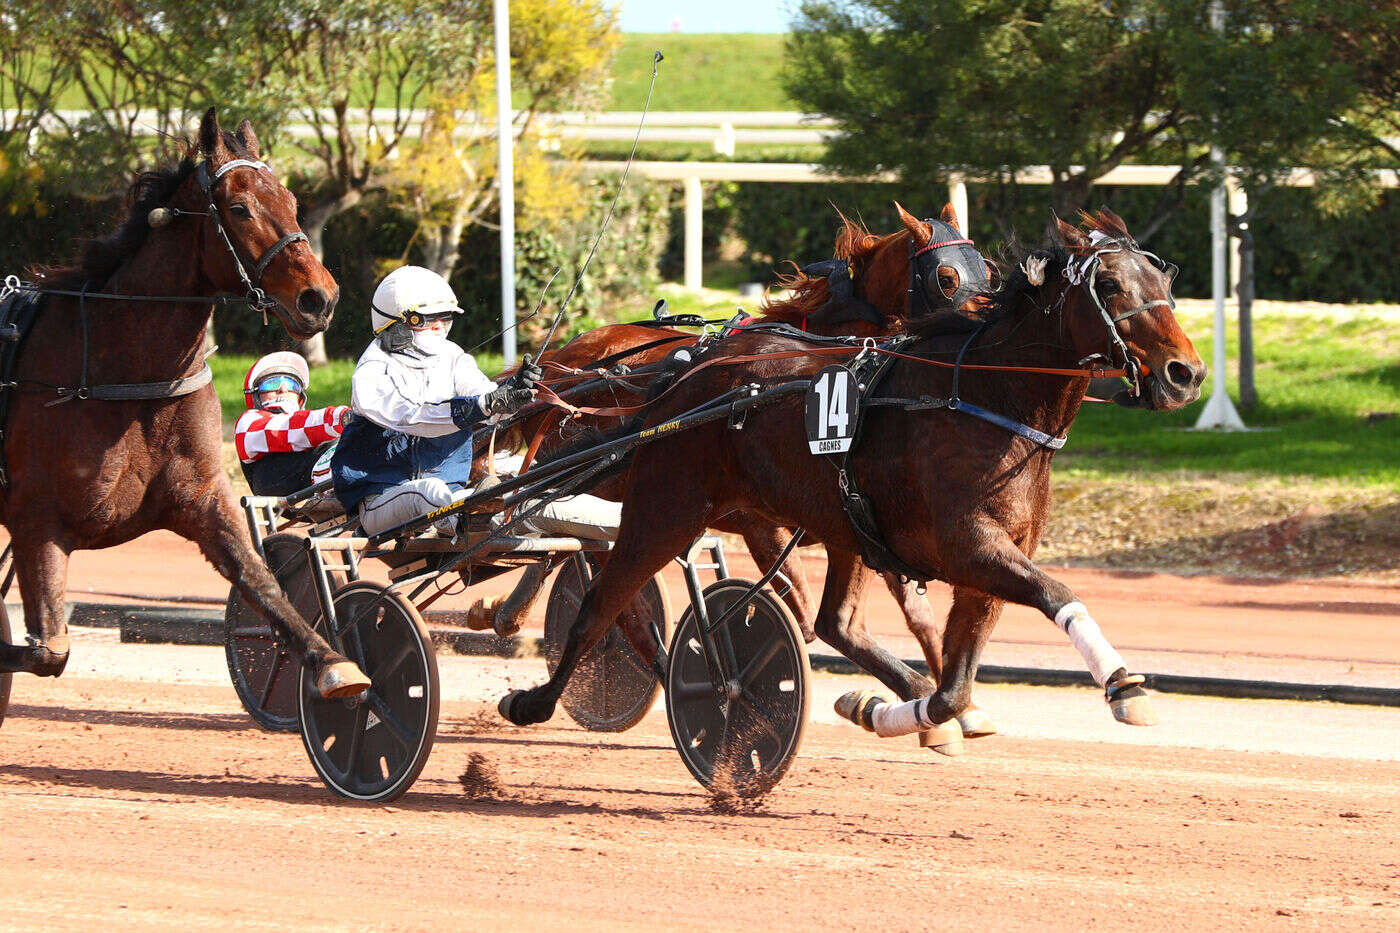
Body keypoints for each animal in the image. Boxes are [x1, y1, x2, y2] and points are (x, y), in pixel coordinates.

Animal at [0, 105, 369, 694]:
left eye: (291, 200)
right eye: (239, 208)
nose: (319, 298)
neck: (120, 365)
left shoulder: (198, 495)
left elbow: (259, 579)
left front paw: (332, 662)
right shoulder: (37, 520)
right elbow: (49, 649)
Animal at [501, 207, 1204, 745]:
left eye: (1163, 277)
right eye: (1109, 286)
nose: (1185, 373)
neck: (982, 398)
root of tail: (681, 380)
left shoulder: (972, 560)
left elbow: (950, 680)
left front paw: (895, 710)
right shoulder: (968, 546)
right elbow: (1056, 593)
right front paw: (1124, 685)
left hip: (829, 523)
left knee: (832, 620)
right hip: (665, 507)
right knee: (597, 594)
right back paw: (538, 692)